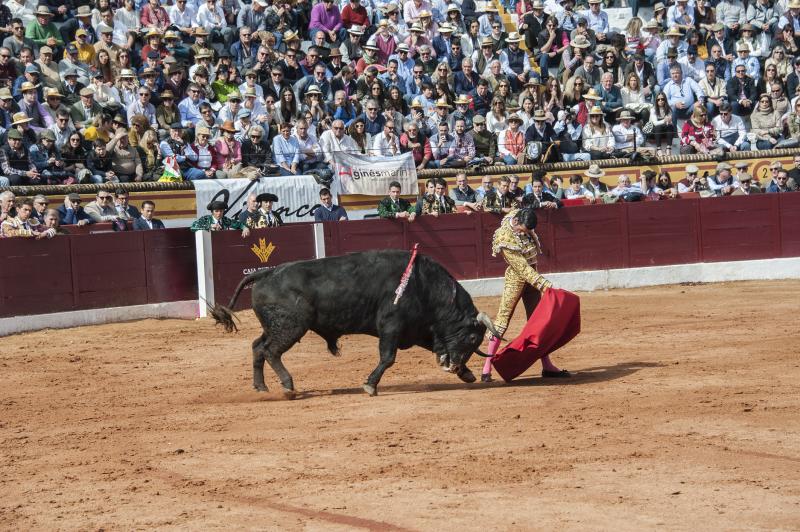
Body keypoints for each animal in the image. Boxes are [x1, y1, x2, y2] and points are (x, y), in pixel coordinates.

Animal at [211, 249, 500, 394]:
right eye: (472, 338)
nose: (455, 366)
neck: (424, 286)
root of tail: (267, 272)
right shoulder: (392, 327)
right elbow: (387, 358)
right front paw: (370, 385)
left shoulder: (417, 330)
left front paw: (467, 374)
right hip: (291, 327)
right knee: (271, 351)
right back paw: (288, 385)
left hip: (274, 326)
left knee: (257, 347)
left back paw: (261, 387)